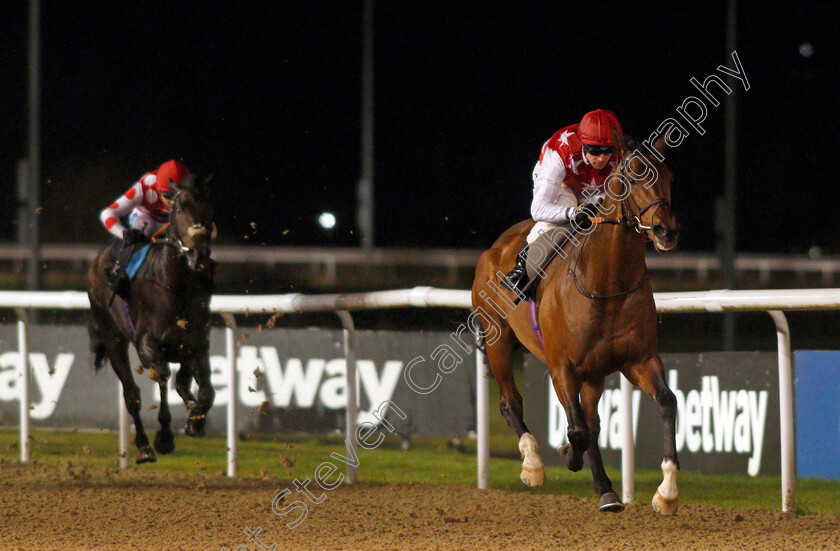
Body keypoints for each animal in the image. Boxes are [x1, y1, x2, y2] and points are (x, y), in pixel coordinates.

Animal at [85, 175, 215, 464]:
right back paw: (144, 446)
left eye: (209, 209)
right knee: (131, 394)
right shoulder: (147, 345)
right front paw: (164, 436)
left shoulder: (196, 345)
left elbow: (205, 390)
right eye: (181, 208)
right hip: (112, 337)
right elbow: (163, 376)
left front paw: (196, 420)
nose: (198, 255)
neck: (174, 285)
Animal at [472, 132, 684, 516]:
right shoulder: (561, 367)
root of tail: (494, 248)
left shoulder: (639, 360)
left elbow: (666, 401)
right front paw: (566, 454)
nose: (666, 231)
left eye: (670, 177)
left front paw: (667, 492)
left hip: (595, 372)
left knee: (592, 420)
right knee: (511, 402)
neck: (607, 283)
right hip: (498, 339)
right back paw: (533, 466)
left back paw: (606, 490)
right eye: (634, 178)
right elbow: (578, 430)